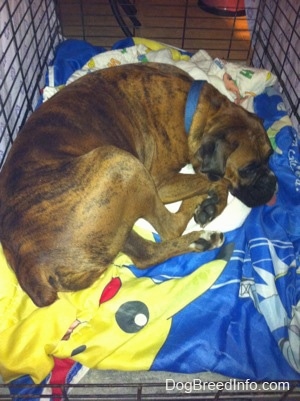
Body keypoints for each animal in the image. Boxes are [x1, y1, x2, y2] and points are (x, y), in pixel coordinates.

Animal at [0, 63, 276, 306]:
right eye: (248, 169)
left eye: (270, 155)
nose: (273, 184)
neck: (196, 109)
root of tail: (29, 267)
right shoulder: (161, 182)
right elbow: (214, 180)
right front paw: (213, 198)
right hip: (122, 163)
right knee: (170, 227)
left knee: (146, 255)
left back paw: (201, 240)